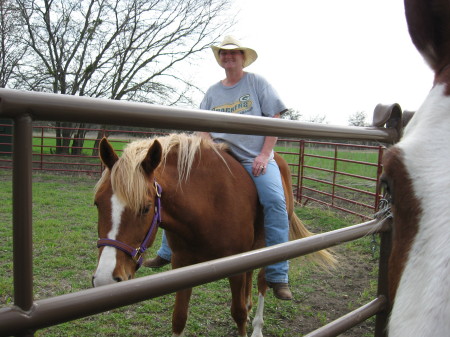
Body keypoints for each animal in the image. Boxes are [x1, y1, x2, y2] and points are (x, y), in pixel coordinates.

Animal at [91, 134, 334, 336]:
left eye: (145, 207)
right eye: (97, 204)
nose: (105, 279)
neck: (209, 202)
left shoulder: (235, 267)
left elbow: (238, 314)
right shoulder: (181, 265)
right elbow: (179, 318)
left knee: (262, 281)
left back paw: (258, 325)